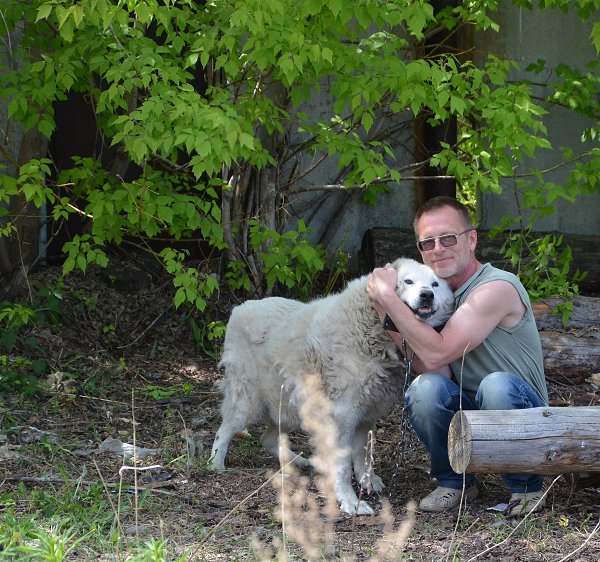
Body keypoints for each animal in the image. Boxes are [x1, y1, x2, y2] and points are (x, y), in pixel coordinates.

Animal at [208, 258, 454, 515]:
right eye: (408, 281)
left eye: (435, 284)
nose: (427, 295)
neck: (375, 327)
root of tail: (240, 308)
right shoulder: (344, 416)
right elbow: (343, 466)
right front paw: (350, 501)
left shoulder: (366, 416)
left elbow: (364, 455)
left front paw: (368, 482)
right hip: (249, 403)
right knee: (224, 430)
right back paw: (216, 465)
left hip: (290, 407)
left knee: (267, 439)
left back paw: (300, 462)